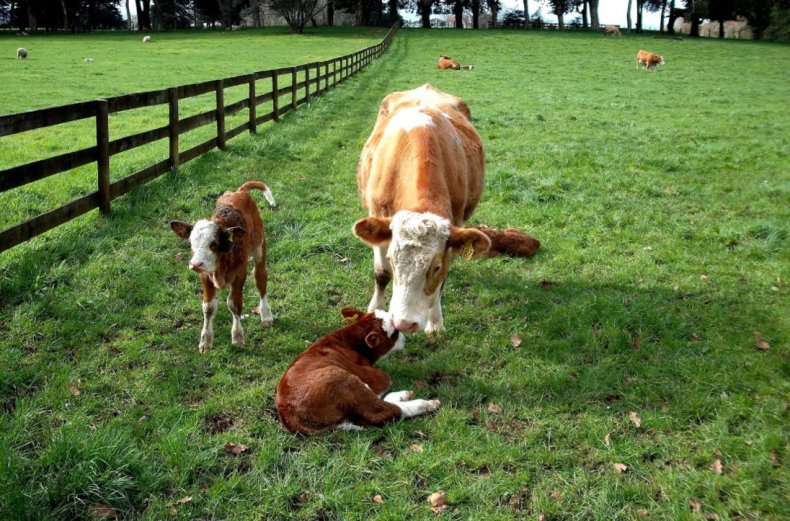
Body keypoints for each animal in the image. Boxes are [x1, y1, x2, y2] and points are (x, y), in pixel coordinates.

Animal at [169, 180, 276, 354]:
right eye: (190, 243)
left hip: (260, 248)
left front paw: (237, 337)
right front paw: (205, 342)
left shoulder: (240, 274)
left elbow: (234, 304)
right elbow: (208, 307)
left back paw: (266, 315)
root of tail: (238, 192)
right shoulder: (205, 276)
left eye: (213, 244)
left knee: (260, 280)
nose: (196, 264)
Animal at [276, 304, 440, 434]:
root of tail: (289, 415)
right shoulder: (374, 376)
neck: (349, 341)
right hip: (344, 380)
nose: (405, 340)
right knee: (383, 410)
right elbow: (385, 381)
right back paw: (426, 403)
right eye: (394, 334)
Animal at [354, 83, 496, 332]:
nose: (403, 322)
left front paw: (436, 322)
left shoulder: (455, 227)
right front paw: (374, 310)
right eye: (393, 259)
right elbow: (381, 274)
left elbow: (441, 284)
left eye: (436, 267)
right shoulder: (377, 216)